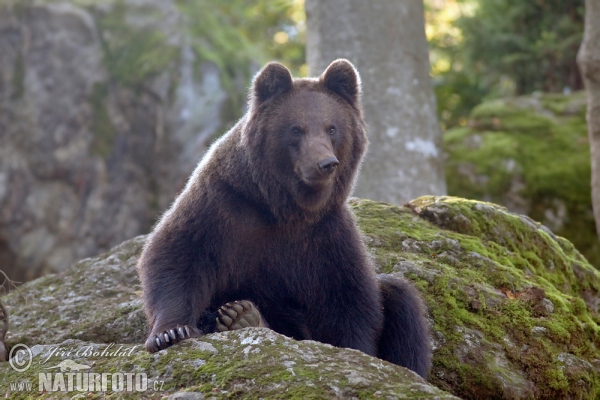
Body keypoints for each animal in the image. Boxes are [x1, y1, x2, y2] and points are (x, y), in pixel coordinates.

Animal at [138, 59, 432, 378]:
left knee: (400, 297)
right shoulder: (220, 206)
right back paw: (241, 316)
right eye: (296, 129)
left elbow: (349, 299)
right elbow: (175, 255)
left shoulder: (326, 233)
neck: (283, 208)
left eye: (332, 128)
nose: (326, 163)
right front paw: (170, 332)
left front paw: (358, 353)